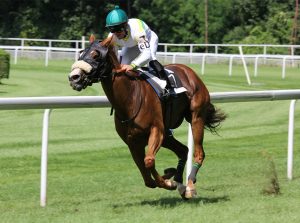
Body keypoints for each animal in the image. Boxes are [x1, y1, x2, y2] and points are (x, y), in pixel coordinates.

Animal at [68, 35, 226, 199]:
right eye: (81, 53)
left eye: (96, 55)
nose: (74, 77)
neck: (130, 98)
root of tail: (189, 71)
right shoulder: (132, 141)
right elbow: (146, 176)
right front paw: (169, 177)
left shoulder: (157, 130)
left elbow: (149, 161)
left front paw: (168, 182)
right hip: (167, 135)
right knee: (183, 150)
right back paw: (180, 182)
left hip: (196, 118)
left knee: (199, 152)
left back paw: (189, 186)